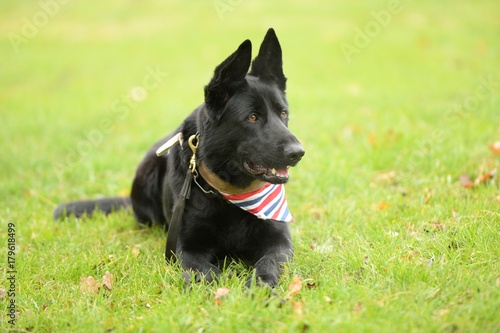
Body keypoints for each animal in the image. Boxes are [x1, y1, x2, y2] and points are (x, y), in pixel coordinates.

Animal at [54, 28, 304, 286]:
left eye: (283, 113)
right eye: (252, 117)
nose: (298, 152)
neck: (228, 193)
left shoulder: (279, 242)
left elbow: (268, 263)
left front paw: (260, 286)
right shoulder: (187, 248)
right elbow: (206, 273)